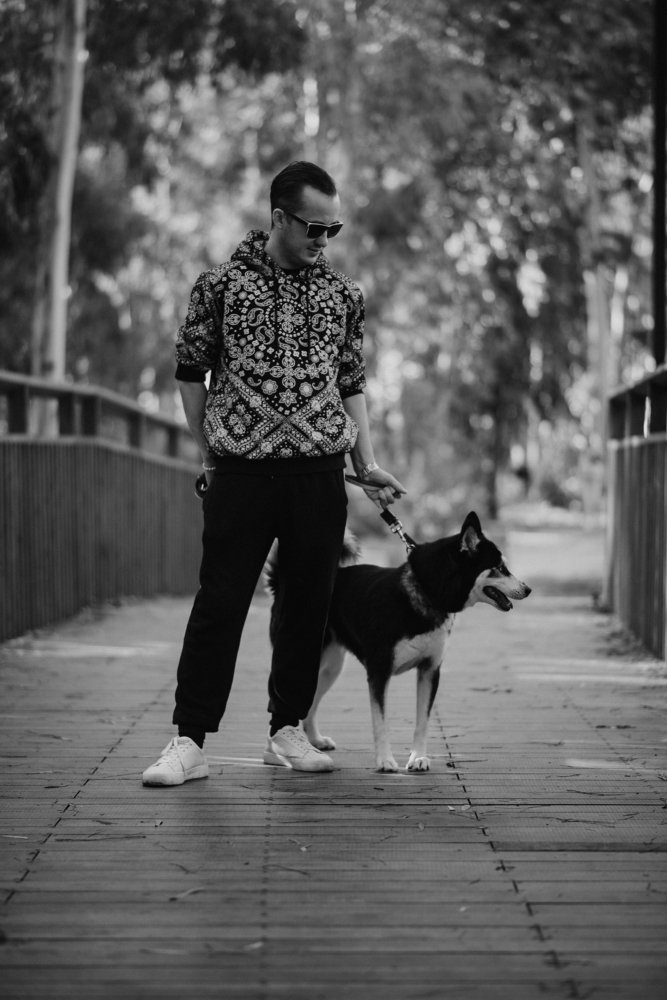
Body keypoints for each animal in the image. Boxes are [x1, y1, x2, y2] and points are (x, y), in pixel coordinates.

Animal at [266, 511, 530, 773]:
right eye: (499, 567)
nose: (528, 589)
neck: (426, 592)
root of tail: (280, 584)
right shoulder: (379, 672)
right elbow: (381, 723)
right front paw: (385, 760)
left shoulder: (429, 671)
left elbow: (422, 722)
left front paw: (418, 758)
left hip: (331, 668)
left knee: (311, 703)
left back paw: (315, 740)